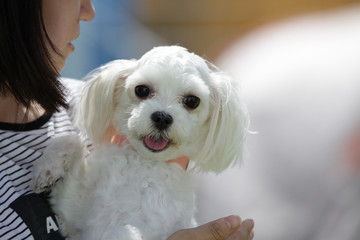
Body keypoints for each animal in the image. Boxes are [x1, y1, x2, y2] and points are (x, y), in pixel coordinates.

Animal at [32, 46, 249, 239]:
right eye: (142, 90)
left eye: (192, 101)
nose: (162, 117)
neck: (143, 163)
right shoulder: (71, 216)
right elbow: (72, 140)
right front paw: (48, 168)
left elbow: (123, 233)